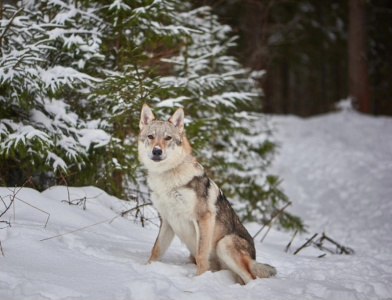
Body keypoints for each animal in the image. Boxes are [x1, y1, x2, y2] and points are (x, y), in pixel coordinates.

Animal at [138, 103, 276, 284]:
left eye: (168, 138)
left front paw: (199, 281)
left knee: (251, 279)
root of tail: (254, 257)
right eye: (151, 136)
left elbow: (201, 254)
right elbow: (156, 250)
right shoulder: (167, 221)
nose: (156, 151)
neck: (168, 177)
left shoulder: (203, 218)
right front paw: (147, 268)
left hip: (225, 243)